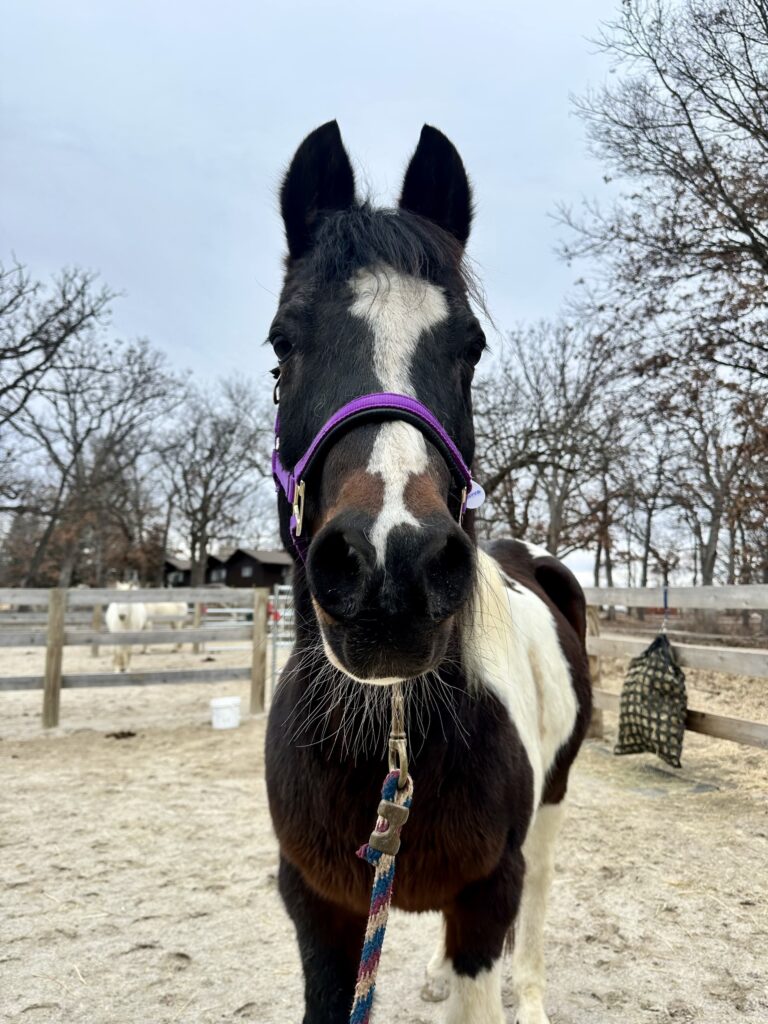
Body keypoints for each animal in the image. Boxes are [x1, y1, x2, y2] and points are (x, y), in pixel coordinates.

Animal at [262, 121, 593, 1024]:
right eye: (282, 342)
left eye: (469, 348)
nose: (391, 565)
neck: (393, 734)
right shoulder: (319, 907)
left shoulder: (488, 895)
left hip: (550, 814)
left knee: (540, 909)